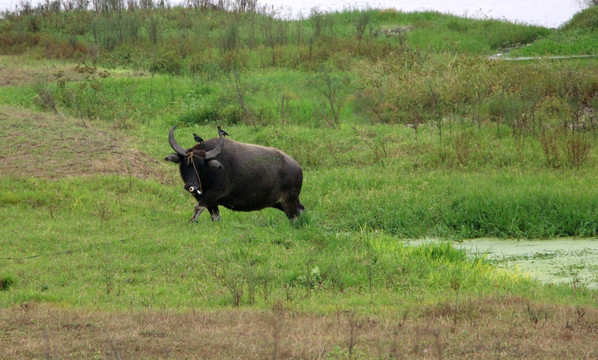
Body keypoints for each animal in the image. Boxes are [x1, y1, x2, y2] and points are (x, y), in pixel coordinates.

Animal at [165, 126, 304, 222]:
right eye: (186, 163)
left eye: (201, 166)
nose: (192, 186)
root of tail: (297, 167)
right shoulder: (210, 201)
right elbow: (215, 216)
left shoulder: (214, 193)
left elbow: (197, 208)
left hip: (290, 202)